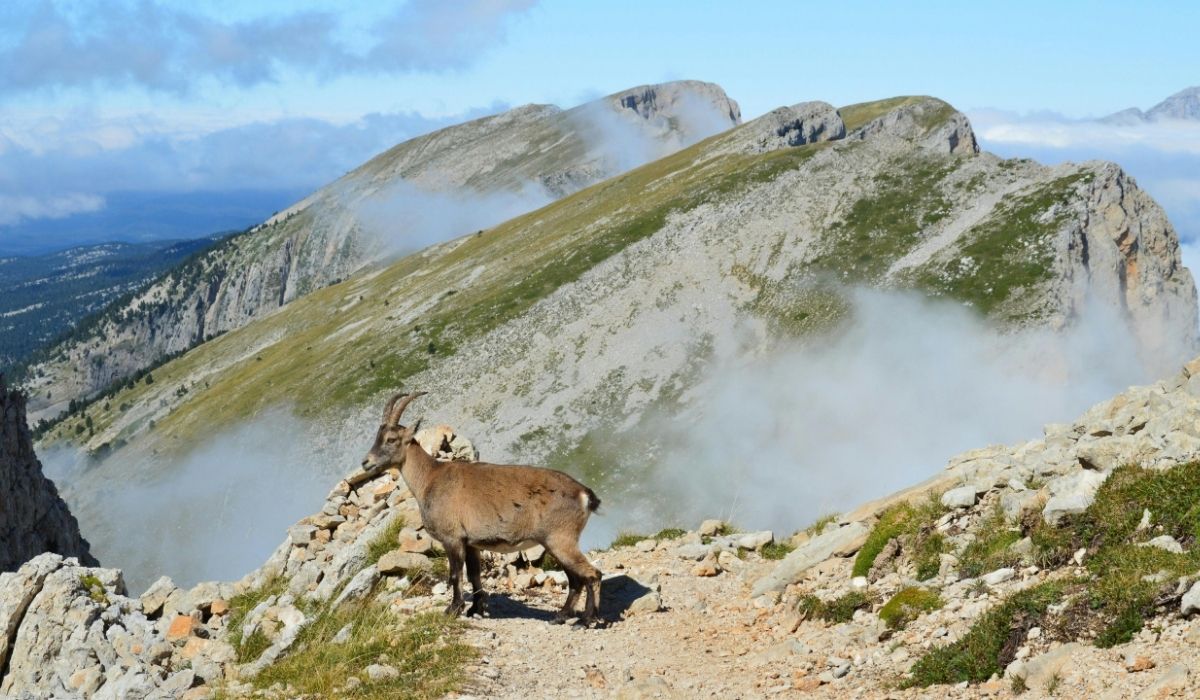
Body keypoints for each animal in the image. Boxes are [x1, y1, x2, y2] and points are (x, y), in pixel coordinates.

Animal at [361, 391, 603, 624]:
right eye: (377, 437)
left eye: (391, 439)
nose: (366, 462)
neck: (430, 478)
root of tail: (583, 493)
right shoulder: (471, 543)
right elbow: (474, 575)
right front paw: (474, 609)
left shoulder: (452, 538)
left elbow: (455, 575)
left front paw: (453, 609)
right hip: (556, 542)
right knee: (576, 579)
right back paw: (561, 616)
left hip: (560, 539)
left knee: (593, 574)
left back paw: (587, 619)